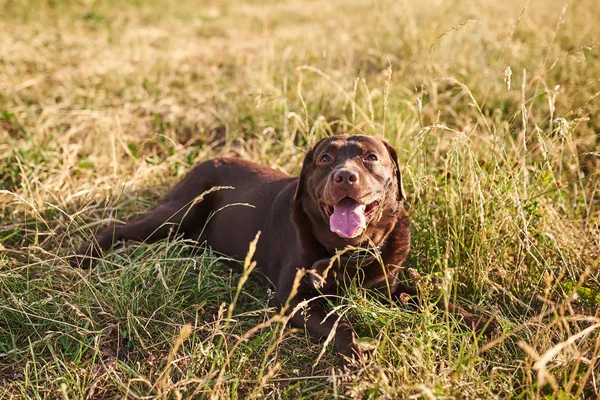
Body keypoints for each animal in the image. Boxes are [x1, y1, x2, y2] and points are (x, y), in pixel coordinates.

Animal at [74, 135, 496, 362]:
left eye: (371, 157)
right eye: (325, 158)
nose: (345, 176)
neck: (347, 252)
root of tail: (208, 158)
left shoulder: (386, 285)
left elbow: (429, 297)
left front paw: (482, 322)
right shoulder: (291, 299)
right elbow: (334, 322)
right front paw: (357, 346)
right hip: (178, 212)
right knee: (118, 228)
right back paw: (82, 257)